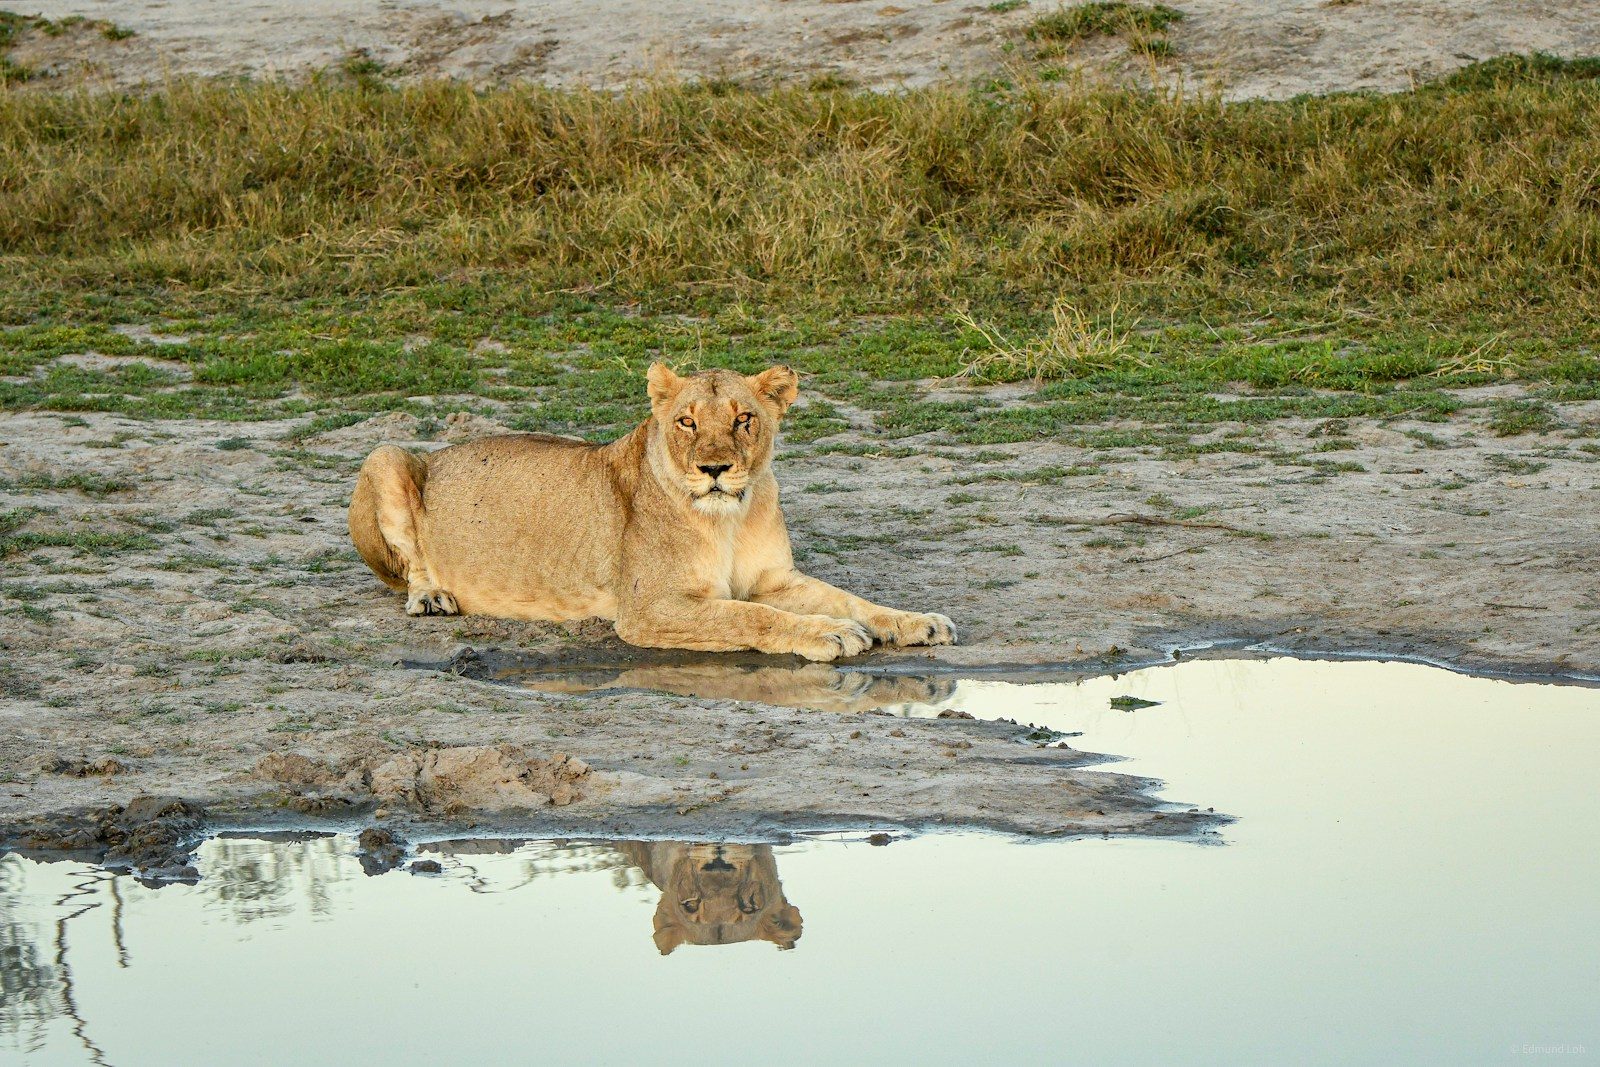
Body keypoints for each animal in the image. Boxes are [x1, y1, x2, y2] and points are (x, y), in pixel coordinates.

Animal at [348, 363, 955, 661]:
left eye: (743, 419)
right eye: (687, 421)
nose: (714, 469)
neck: (729, 518)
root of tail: (439, 451)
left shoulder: (773, 579)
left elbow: (852, 600)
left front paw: (916, 622)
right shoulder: (649, 609)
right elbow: (750, 617)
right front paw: (830, 634)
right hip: (387, 454)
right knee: (410, 568)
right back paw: (432, 597)